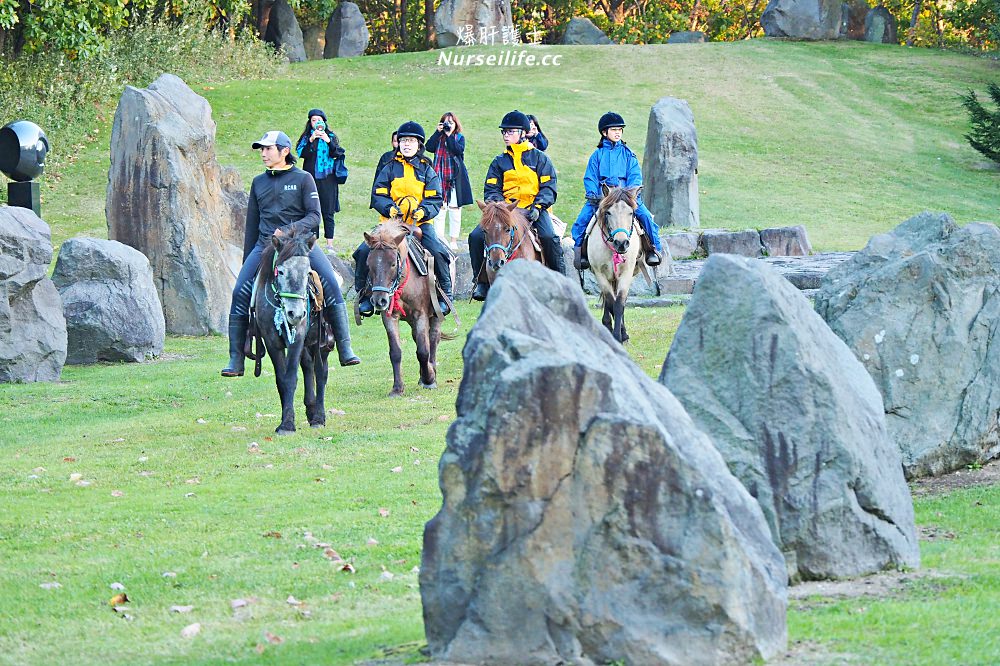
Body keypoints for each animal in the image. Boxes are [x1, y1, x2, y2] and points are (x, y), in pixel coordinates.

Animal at [252, 226, 330, 434]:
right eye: (280, 271)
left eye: (307, 272)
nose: (295, 313)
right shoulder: (271, 342)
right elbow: (282, 380)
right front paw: (286, 420)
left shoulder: (297, 339)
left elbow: (290, 378)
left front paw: (287, 424)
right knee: (309, 366)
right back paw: (311, 410)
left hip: (323, 344)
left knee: (321, 373)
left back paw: (319, 417)